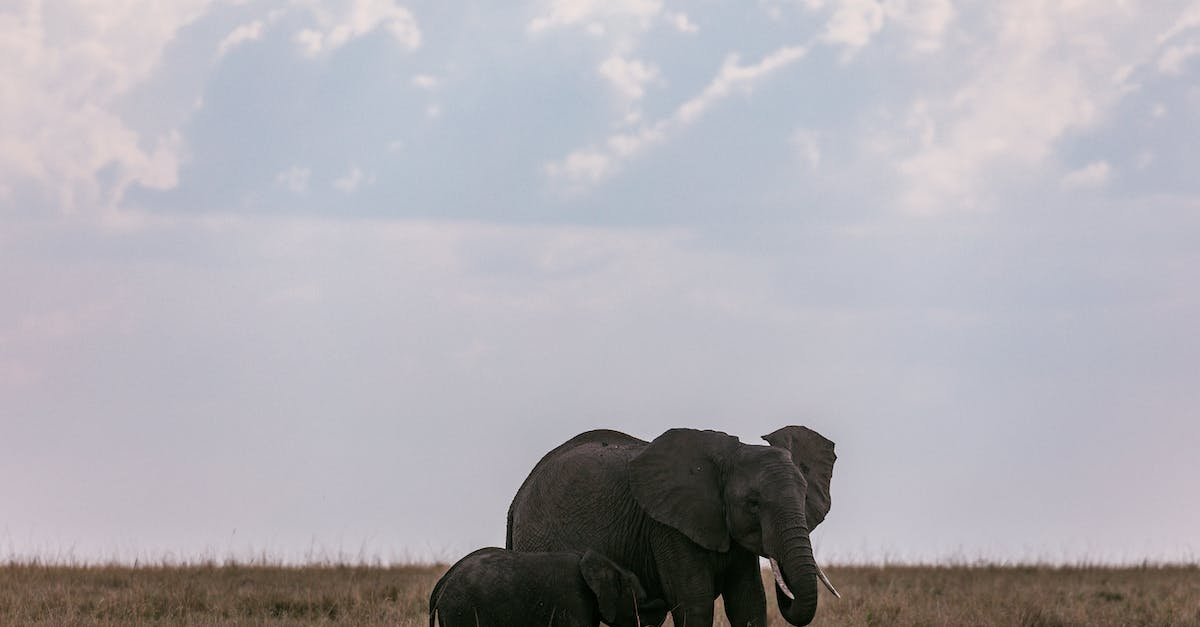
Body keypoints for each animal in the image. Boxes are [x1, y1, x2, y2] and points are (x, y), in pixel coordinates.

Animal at [506, 426, 838, 627]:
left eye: (805, 496)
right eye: (753, 503)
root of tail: (517, 497)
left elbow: (748, 603)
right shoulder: (668, 529)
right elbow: (695, 603)